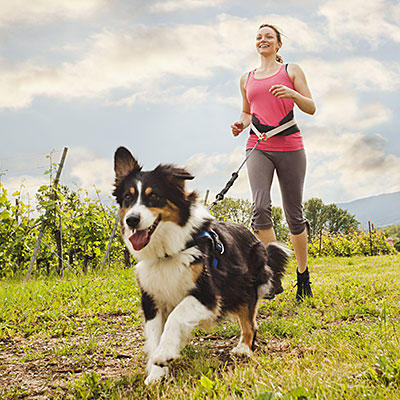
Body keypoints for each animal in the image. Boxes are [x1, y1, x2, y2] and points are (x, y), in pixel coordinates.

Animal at [111, 147, 290, 384]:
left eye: (154, 196)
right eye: (128, 198)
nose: (131, 220)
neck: (168, 252)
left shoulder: (208, 295)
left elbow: (176, 317)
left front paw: (164, 354)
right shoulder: (151, 299)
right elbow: (155, 334)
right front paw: (156, 374)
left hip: (244, 286)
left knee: (250, 323)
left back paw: (244, 348)